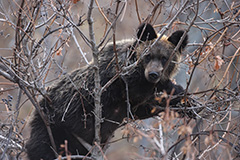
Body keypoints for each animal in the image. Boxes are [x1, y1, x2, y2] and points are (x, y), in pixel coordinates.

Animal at [25, 23, 188, 159]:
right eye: (148, 55)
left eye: (164, 58)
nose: (153, 74)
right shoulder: (117, 75)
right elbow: (136, 90)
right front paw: (172, 87)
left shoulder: (129, 106)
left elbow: (144, 107)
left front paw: (178, 96)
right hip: (51, 125)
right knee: (41, 149)